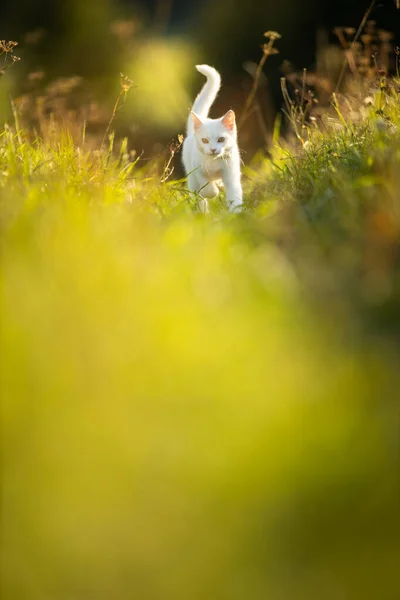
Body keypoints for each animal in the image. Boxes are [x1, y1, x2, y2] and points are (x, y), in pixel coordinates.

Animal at [182, 63, 244, 212]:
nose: (213, 149)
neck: (214, 162)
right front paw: (213, 191)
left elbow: (235, 194)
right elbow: (207, 188)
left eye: (221, 139)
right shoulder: (198, 170)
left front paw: (236, 213)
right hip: (191, 177)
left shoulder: (232, 174)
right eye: (204, 140)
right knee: (198, 196)